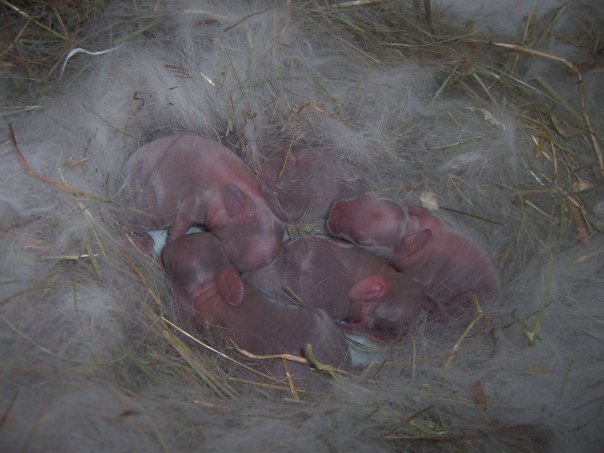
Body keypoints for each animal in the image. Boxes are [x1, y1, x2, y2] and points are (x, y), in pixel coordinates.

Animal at [327, 194, 501, 317]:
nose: (333, 211)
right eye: (365, 196)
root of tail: (496, 290)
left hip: (469, 297)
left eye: (360, 240)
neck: (412, 228)